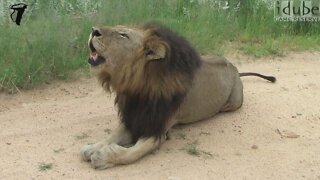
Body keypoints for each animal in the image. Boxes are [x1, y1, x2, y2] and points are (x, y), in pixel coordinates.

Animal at [81, 22, 276, 169]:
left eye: (123, 35)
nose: (93, 30)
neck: (137, 86)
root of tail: (235, 68)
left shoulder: (157, 129)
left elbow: (132, 153)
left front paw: (103, 157)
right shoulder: (134, 117)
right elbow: (113, 136)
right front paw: (92, 148)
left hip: (233, 103)